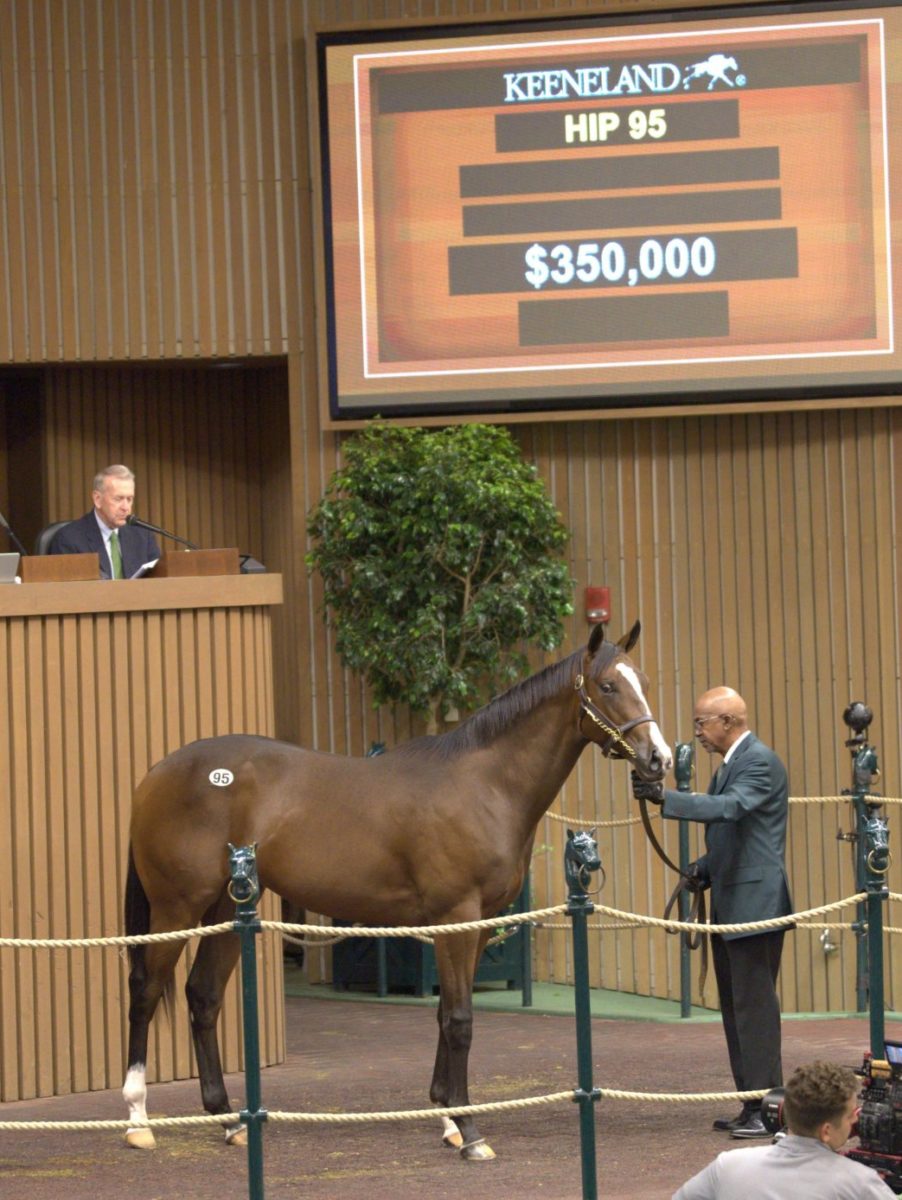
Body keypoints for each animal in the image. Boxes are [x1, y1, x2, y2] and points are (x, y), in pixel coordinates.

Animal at [119, 619, 671, 1152]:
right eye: (607, 686)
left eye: (644, 683)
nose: (659, 759)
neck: (485, 785)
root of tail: (154, 775)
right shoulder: (457, 918)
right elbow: (460, 1020)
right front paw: (470, 1131)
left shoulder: (480, 922)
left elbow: (446, 1014)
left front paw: (447, 1118)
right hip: (175, 907)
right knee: (145, 990)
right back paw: (138, 1120)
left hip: (225, 910)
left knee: (202, 996)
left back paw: (228, 1119)